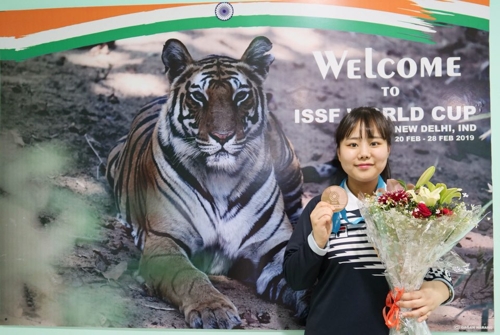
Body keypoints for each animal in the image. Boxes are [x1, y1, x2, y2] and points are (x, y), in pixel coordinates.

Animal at [106, 36, 306, 328]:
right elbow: (190, 278)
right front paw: (214, 310)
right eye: (199, 97)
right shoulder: (166, 241)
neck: (222, 177)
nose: (222, 136)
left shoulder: (276, 247)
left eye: (240, 96)